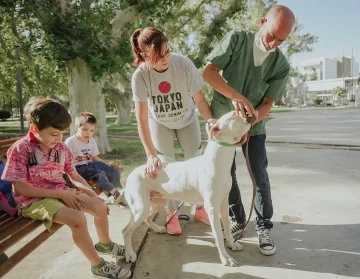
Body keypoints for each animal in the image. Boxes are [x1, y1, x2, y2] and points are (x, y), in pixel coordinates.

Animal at [122, 111, 252, 266]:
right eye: (233, 115)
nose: (245, 110)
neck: (218, 161)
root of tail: (132, 173)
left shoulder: (224, 203)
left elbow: (226, 226)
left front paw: (232, 244)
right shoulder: (212, 208)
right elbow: (219, 236)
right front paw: (226, 258)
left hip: (157, 202)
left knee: (147, 218)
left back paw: (158, 228)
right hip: (140, 208)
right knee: (126, 230)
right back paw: (130, 254)